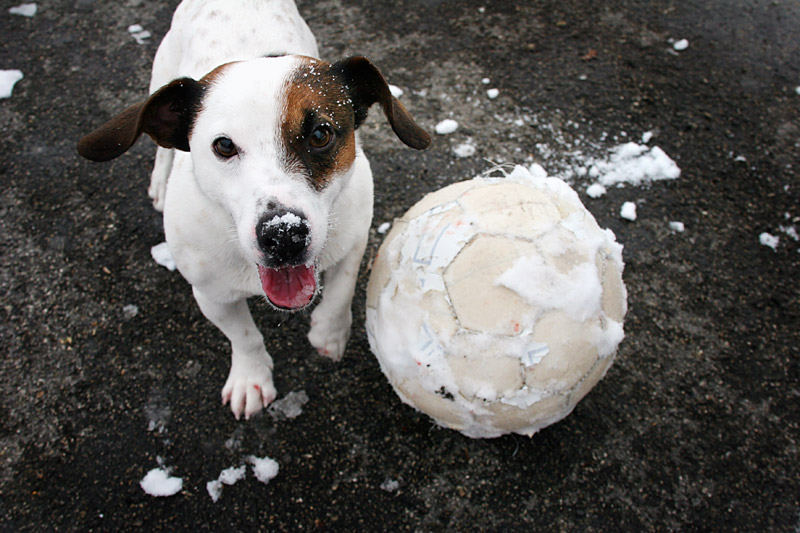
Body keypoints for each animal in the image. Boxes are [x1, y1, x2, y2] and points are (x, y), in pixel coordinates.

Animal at [76, 0, 432, 420]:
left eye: (320, 134)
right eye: (224, 146)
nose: (284, 235)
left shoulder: (353, 238)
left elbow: (341, 291)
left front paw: (329, 333)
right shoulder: (211, 294)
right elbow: (244, 336)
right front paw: (251, 378)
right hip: (160, 76)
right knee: (159, 147)